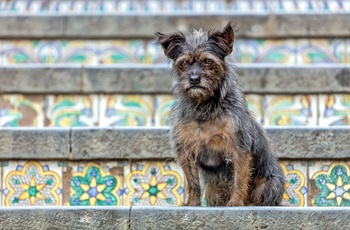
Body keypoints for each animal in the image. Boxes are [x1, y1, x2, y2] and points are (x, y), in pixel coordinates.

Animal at [156, 22, 284, 206]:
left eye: (207, 61)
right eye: (183, 63)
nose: (194, 79)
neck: (204, 106)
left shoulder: (239, 147)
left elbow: (239, 179)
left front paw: (235, 202)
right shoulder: (185, 150)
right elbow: (192, 182)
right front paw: (192, 203)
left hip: (269, 185)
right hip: (212, 191)